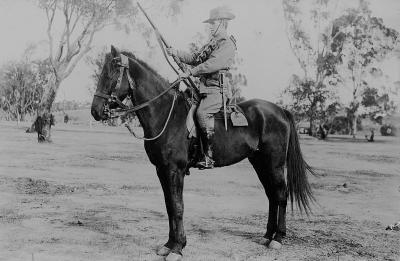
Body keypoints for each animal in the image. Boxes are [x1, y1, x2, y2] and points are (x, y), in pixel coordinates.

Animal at [91, 46, 316, 260]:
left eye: (112, 73)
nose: (95, 111)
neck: (166, 114)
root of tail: (280, 111)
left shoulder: (174, 171)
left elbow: (177, 207)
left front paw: (178, 248)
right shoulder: (162, 170)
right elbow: (169, 206)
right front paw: (168, 245)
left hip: (274, 163)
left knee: (281, 194)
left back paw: (278, 238)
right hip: (260, 162)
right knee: (271, 195)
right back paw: (267, 236)